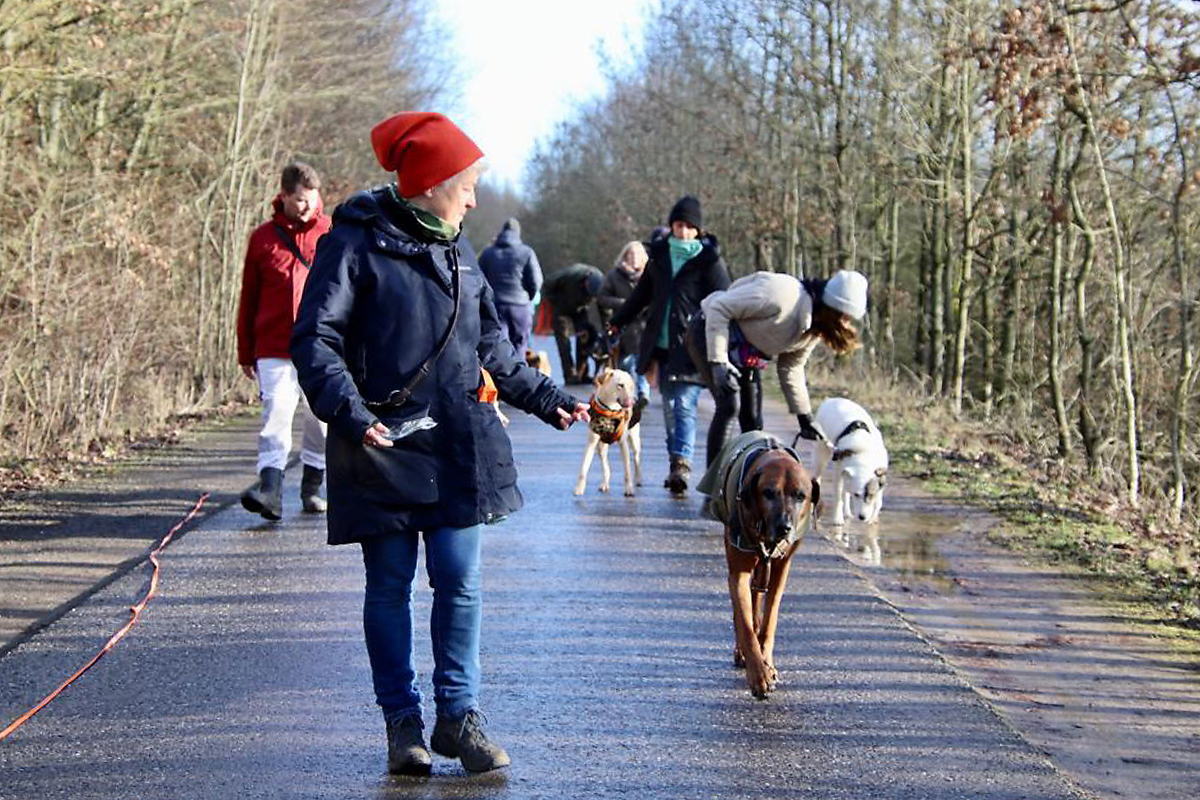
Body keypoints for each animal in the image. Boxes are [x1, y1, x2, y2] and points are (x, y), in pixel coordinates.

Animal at [700, 429, 820, 695]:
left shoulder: (780, 570)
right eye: (768, 493)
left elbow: (769, 620)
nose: (785, 527)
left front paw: (768, 664)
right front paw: (758, 675)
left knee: (757, 603)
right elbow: (745, 623)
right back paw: (742, 652)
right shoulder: (739, 571)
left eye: (801, 496)